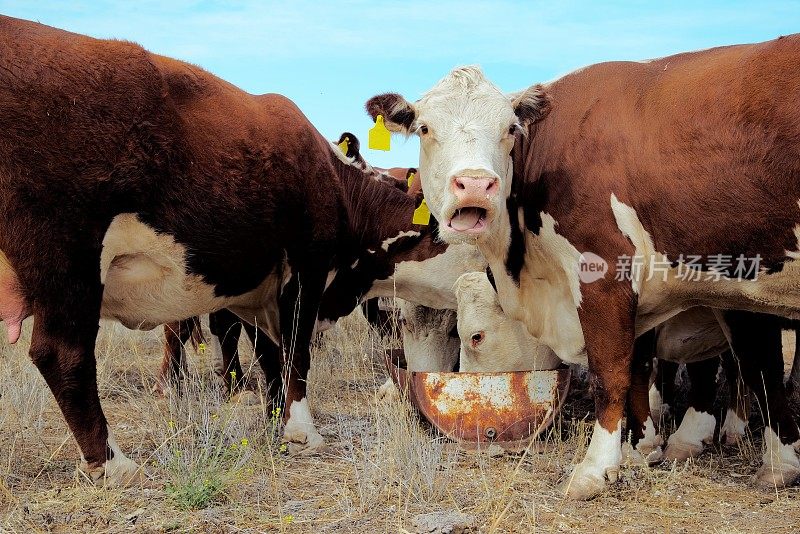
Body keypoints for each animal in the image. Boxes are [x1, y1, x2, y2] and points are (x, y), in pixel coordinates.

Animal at [0, 15, 488, 490]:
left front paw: (275, 419)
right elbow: (295, 349)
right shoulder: (306, 267)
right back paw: (113, 464)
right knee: (62, 353)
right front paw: (302, 430)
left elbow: (271, 354)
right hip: (69, 260)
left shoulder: (257, 288)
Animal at [368, 35, 800, 500]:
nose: (476, 184)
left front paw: (598, 467)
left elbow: (614, 373)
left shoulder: (608, 275)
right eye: (425, 128)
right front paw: (645, 447)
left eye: (510, 129)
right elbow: (659, 367)